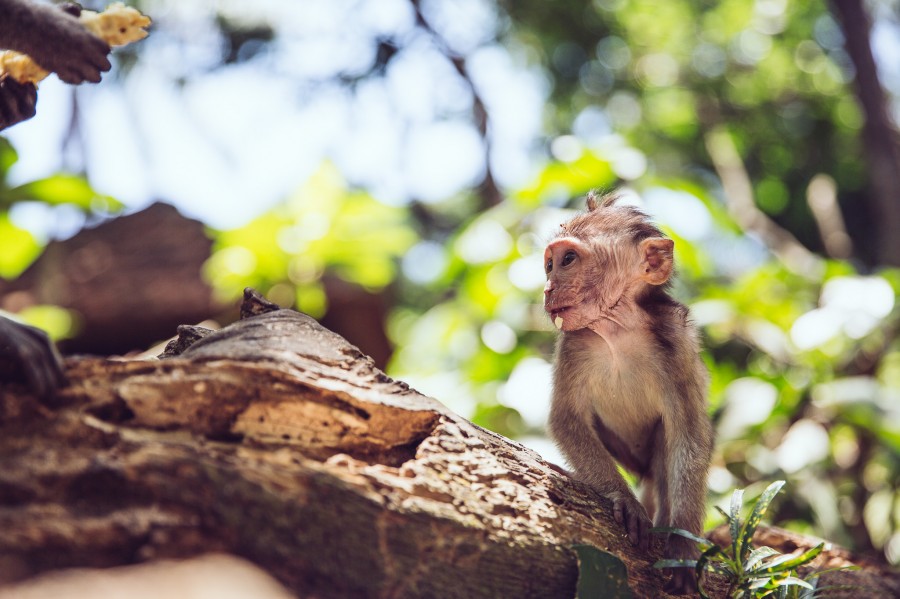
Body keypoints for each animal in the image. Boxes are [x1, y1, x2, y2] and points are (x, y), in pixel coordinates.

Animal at [544, 193, 712, 596]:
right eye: (549, 264)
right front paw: (623, 499)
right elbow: (566, 419)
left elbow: (689, 436)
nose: (547, 288)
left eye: (567, 260)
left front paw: (683, 545)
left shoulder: (676, 345)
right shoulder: (572, 345)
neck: (616, 329)